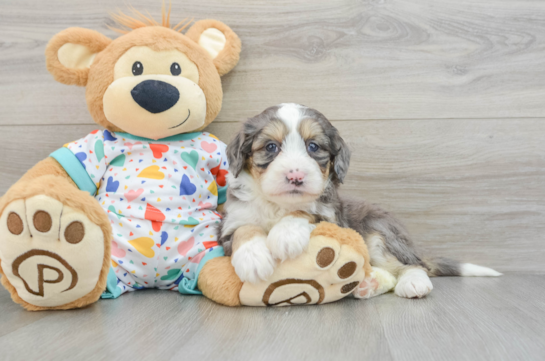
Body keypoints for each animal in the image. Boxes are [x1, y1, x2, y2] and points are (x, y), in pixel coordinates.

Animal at [219, 102, 500, 296]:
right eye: (270, 147)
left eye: (313, 147)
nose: (296, 176)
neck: (279, 205)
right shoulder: (230, 222)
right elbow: (245, 229)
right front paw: (253, 258)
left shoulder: (332, 217)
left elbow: (306, 211)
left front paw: (286, 235)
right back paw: (367, 284)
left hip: (379, 235)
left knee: (409, 265)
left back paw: (413, 283)